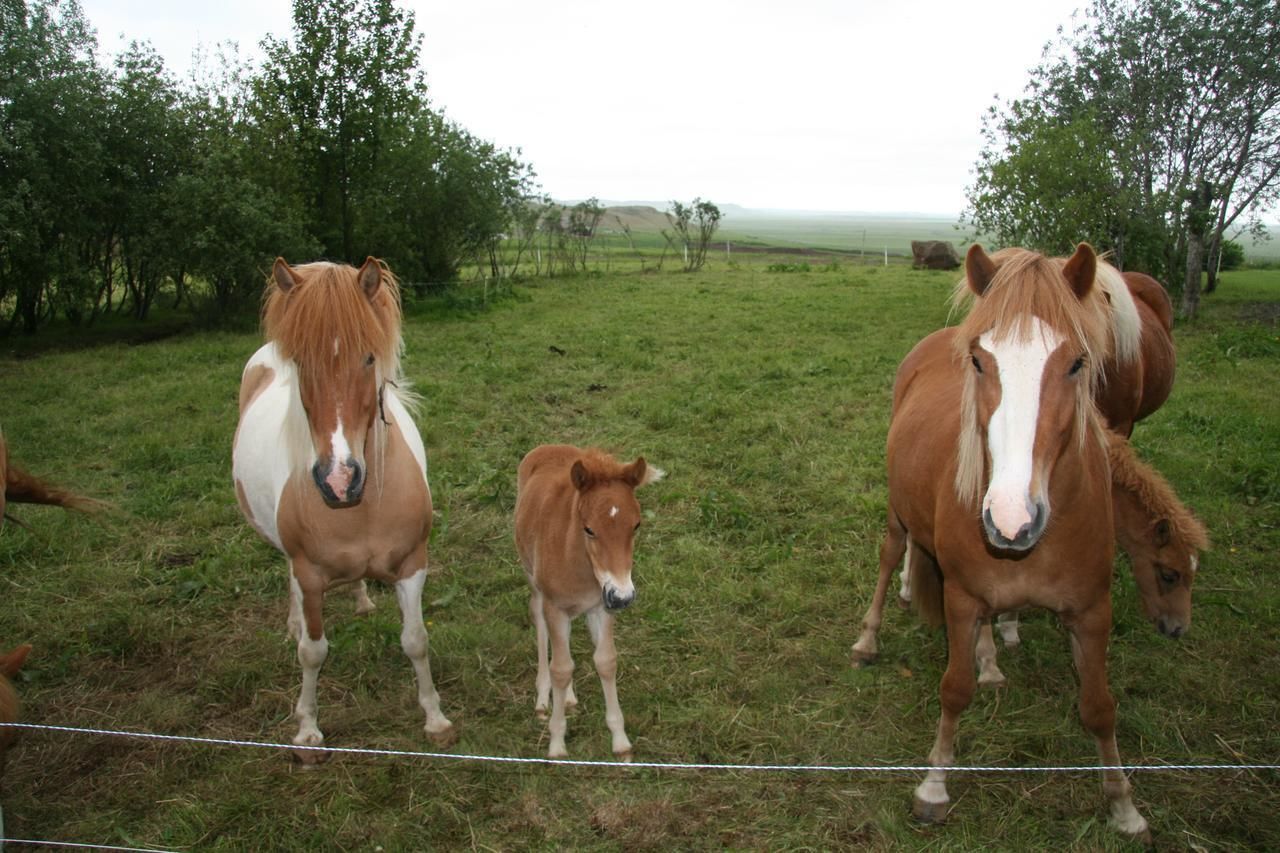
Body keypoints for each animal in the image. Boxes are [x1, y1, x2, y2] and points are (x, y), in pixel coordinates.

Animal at [233, 257, 454, 760]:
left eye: (369, 357)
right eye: (300, 363)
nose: (339, 479)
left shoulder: (412, 564)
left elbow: (416, 641)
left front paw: (435, 719)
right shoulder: (310, 572)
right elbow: (313, 653)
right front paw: (308, 730)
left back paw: (362, 599)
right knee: (290, 584)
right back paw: (295, 622)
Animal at [514, 445, 663, 759]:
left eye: (637, 525)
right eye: (589, 529)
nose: (623, 596)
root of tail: (547, 447)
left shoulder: (601, 607)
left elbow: (605, 662)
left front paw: (620, 741)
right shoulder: (556, 608)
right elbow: (560, 668)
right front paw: (557, 743)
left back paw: (569, 698)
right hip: (533, 578)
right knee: (540, 623)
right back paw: (543, 698)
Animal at [856, 243, 1150, 839]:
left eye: (1077, 362)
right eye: (978, 361)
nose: (1011, 519)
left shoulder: (1093, 611)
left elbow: (1099, 705)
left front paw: (1124, 806)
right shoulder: (962, 599)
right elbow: (954, 689)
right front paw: (933, 789)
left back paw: (992, 659)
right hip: (898, 515)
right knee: (889, 557)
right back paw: (869, 638)